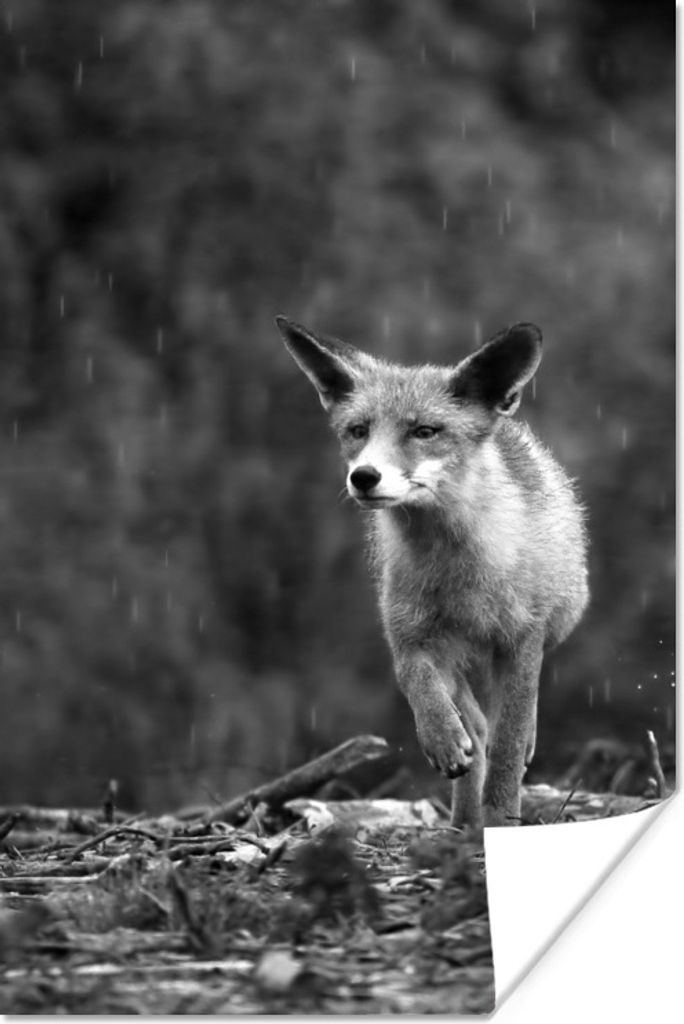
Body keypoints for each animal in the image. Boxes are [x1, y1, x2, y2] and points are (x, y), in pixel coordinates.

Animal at [275, 315, 589, 828]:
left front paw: (501, 817)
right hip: (454, 653)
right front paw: (441, 738)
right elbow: (416, 683)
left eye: (424, 431)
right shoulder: (410, 632)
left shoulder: (522, 637)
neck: (456, 566)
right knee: (475, 726)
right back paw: (461, 819)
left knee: (505, 725)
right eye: (358, 430)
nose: (364, 476)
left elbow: (508, 743)